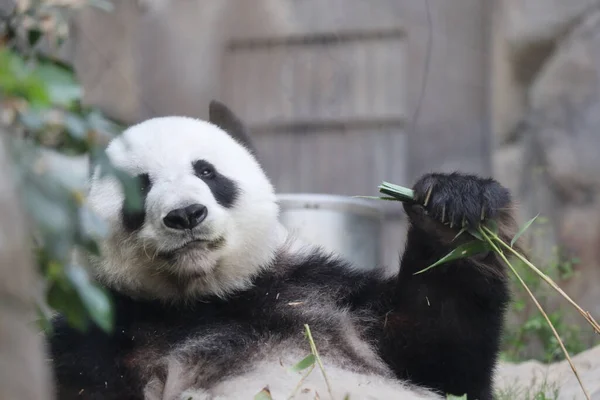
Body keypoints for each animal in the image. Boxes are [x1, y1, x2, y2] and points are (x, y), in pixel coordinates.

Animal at [48, 101, 516, 400]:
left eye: (206, 171)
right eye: (139, 187)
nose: (185, 215)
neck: (203, 298)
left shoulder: (322, 293)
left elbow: (443, 356)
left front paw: (454, 214)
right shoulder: (98, 334)